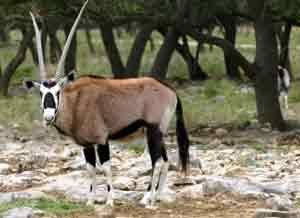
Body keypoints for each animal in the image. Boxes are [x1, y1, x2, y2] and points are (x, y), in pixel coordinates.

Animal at [25, 0, 190, 208]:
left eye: (57, 92)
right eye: (41, 93)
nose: (48, 117)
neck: (77, 102)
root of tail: (170, 90)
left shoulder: (102, 140)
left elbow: (106, 167)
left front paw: (109, 200)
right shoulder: (86, 144)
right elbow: (91, 169)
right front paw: (90, 200)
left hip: (154, 130)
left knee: (158, 161)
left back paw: (148, 199)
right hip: (157, 132)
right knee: (166, 161)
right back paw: (157, 196)